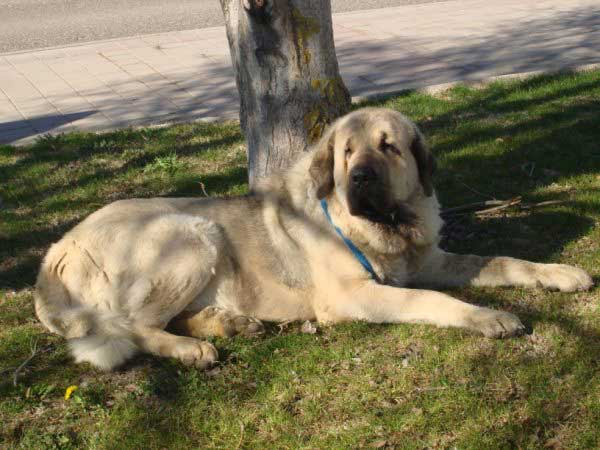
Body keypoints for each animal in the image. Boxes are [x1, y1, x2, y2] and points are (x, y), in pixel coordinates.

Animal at [35, 108, 592, 370]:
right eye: (347, 152)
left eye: (389, 147)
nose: (361, 177)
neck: (385, 225)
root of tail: (59, 248)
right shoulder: (354, 295)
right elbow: (430, 300)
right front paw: (488, 317)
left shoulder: (430, 259)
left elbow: (503, 260)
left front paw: (559, 274)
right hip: (191, 231)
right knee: (135, 328)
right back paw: (190, 348)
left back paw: (227, 323)